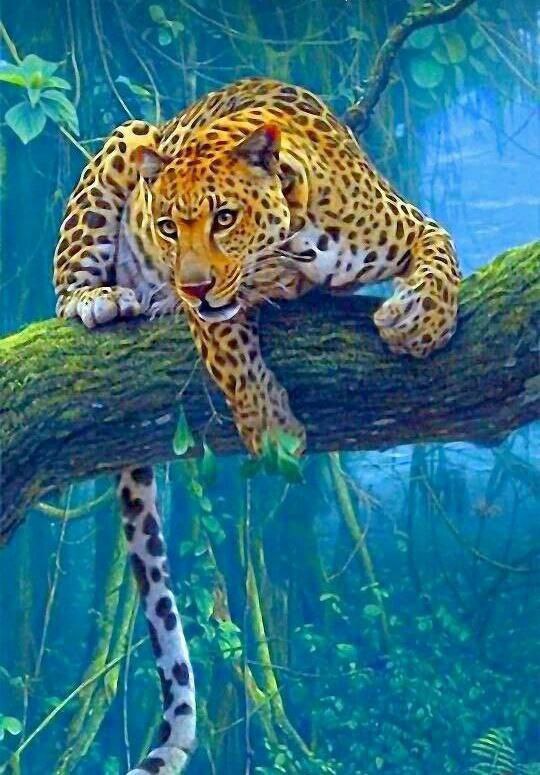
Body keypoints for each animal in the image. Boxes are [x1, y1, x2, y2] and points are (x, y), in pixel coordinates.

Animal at [53, 77, 460, 774]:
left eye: (224, 217)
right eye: (167, 225)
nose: (190, 285)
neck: (300, 236)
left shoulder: (412, 224)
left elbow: (443, 257)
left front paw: (420, 324)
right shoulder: (216, 313)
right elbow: (232, 355)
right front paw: (271, 430)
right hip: (127, 140)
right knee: (63, 288)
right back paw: (103, 299)